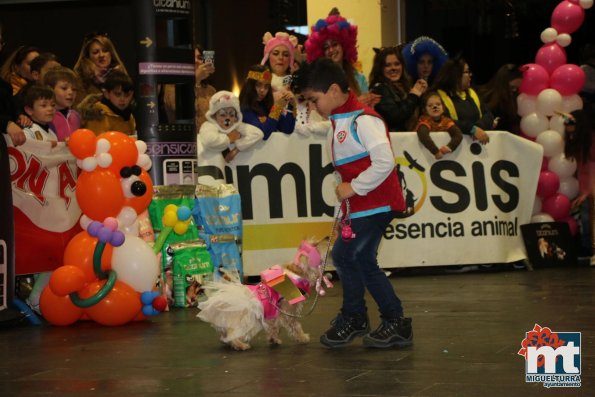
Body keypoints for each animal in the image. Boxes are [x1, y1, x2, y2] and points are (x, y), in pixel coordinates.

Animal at [199, 237, 330, 348]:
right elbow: (295, 326)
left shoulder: (274, 313)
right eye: (315, 245)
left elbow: (274, 327)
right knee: (232, 334)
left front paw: (273, 339)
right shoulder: (288, 312)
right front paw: (302, 337)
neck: (296, 276)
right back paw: (240, 345)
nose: (328, 237)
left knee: (225, 336)